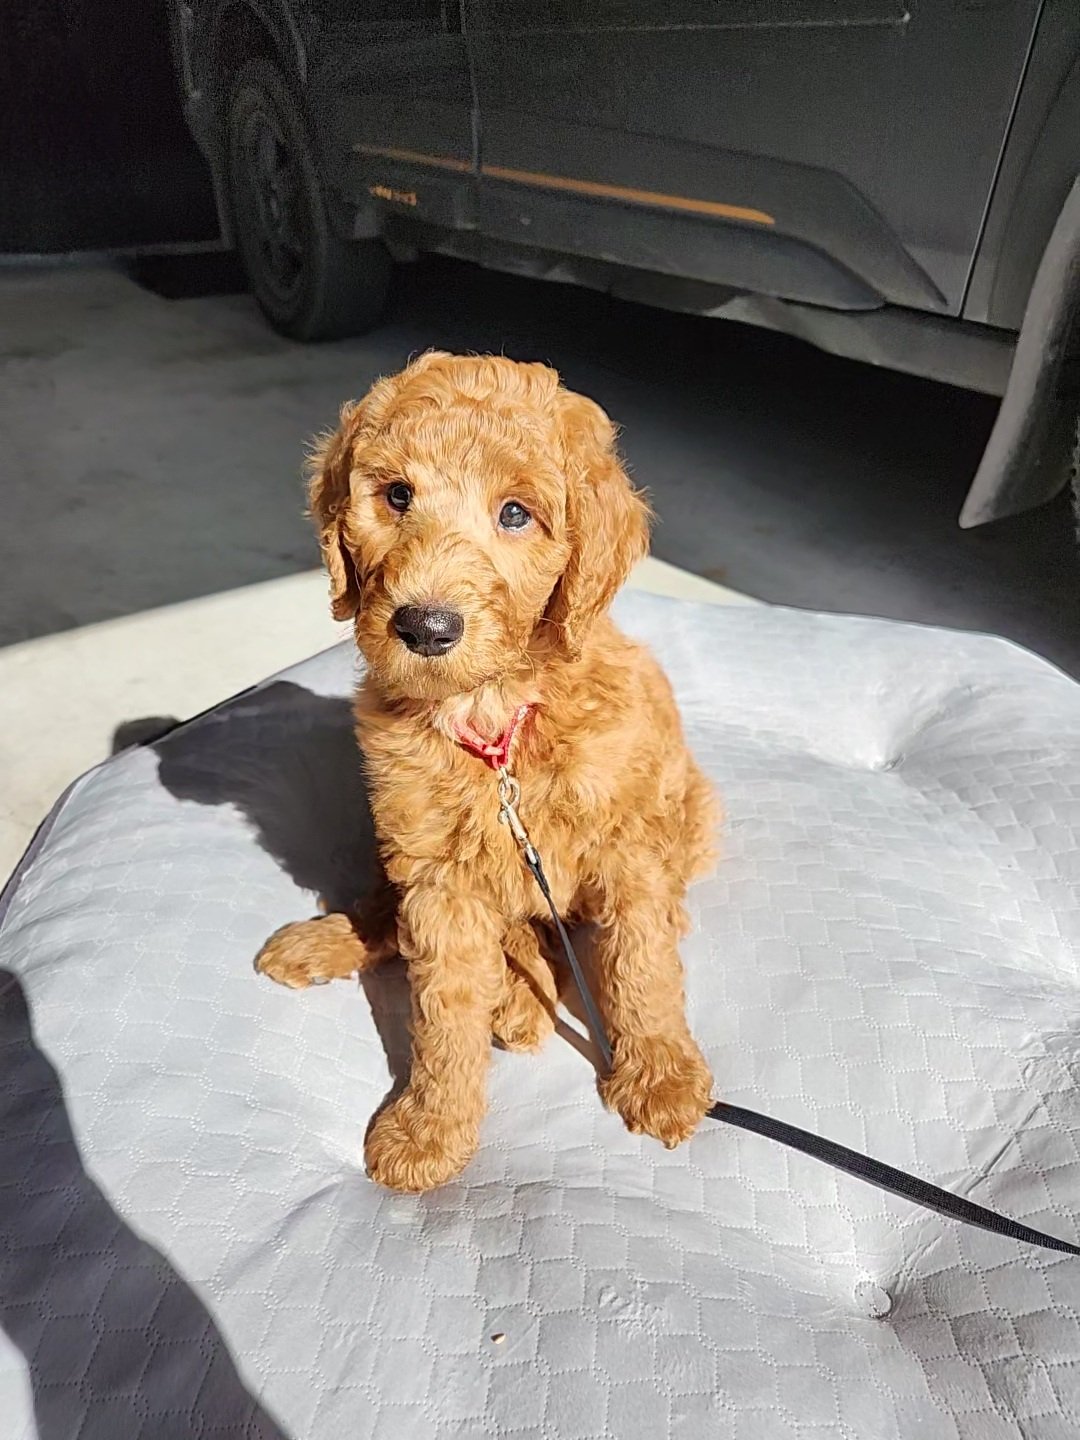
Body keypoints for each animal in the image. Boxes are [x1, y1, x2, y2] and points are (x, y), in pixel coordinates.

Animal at [256, 351, 720, 1192]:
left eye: (515, 514)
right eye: (396, 495)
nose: (426, 627)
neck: (496, 719)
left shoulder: (627, 846)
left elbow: (640, 965)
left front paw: (662, 1074)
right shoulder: (435, 873)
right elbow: (442, 1011)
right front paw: (431, 1126)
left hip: (691, 811)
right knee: (400, 915)